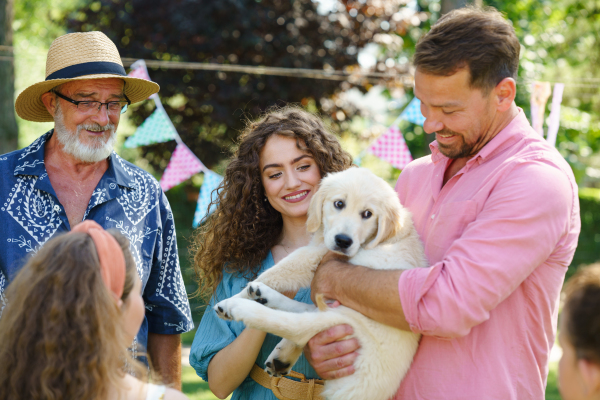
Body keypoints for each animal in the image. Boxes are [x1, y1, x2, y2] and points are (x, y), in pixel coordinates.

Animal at [216, 167, 426, 400]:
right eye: (339, 204)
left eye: (368, 214)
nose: (343, 241)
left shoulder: (316, 254)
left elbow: (276, 270)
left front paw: (236, 297)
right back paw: (266, 305)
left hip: (349, 320)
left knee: (296, 326)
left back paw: (238, 306)